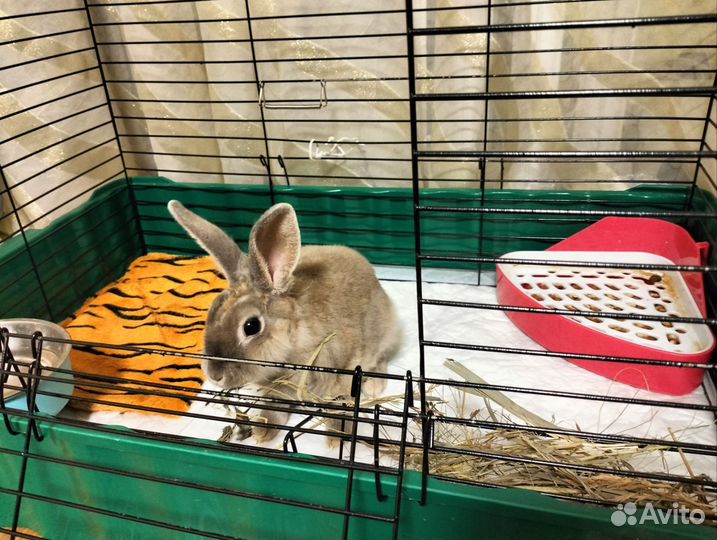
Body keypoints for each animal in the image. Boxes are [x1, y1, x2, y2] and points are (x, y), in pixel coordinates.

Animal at [168, 200, 401, 444]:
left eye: (251, 326)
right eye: (211, 311)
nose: (214, 375)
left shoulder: (345, 370)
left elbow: (339, 404)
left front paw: (337, 435)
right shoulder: (279, 389)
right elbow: (275, 408)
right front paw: (263, 432)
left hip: (383, 333)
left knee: (380, 357)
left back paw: (375, 386)